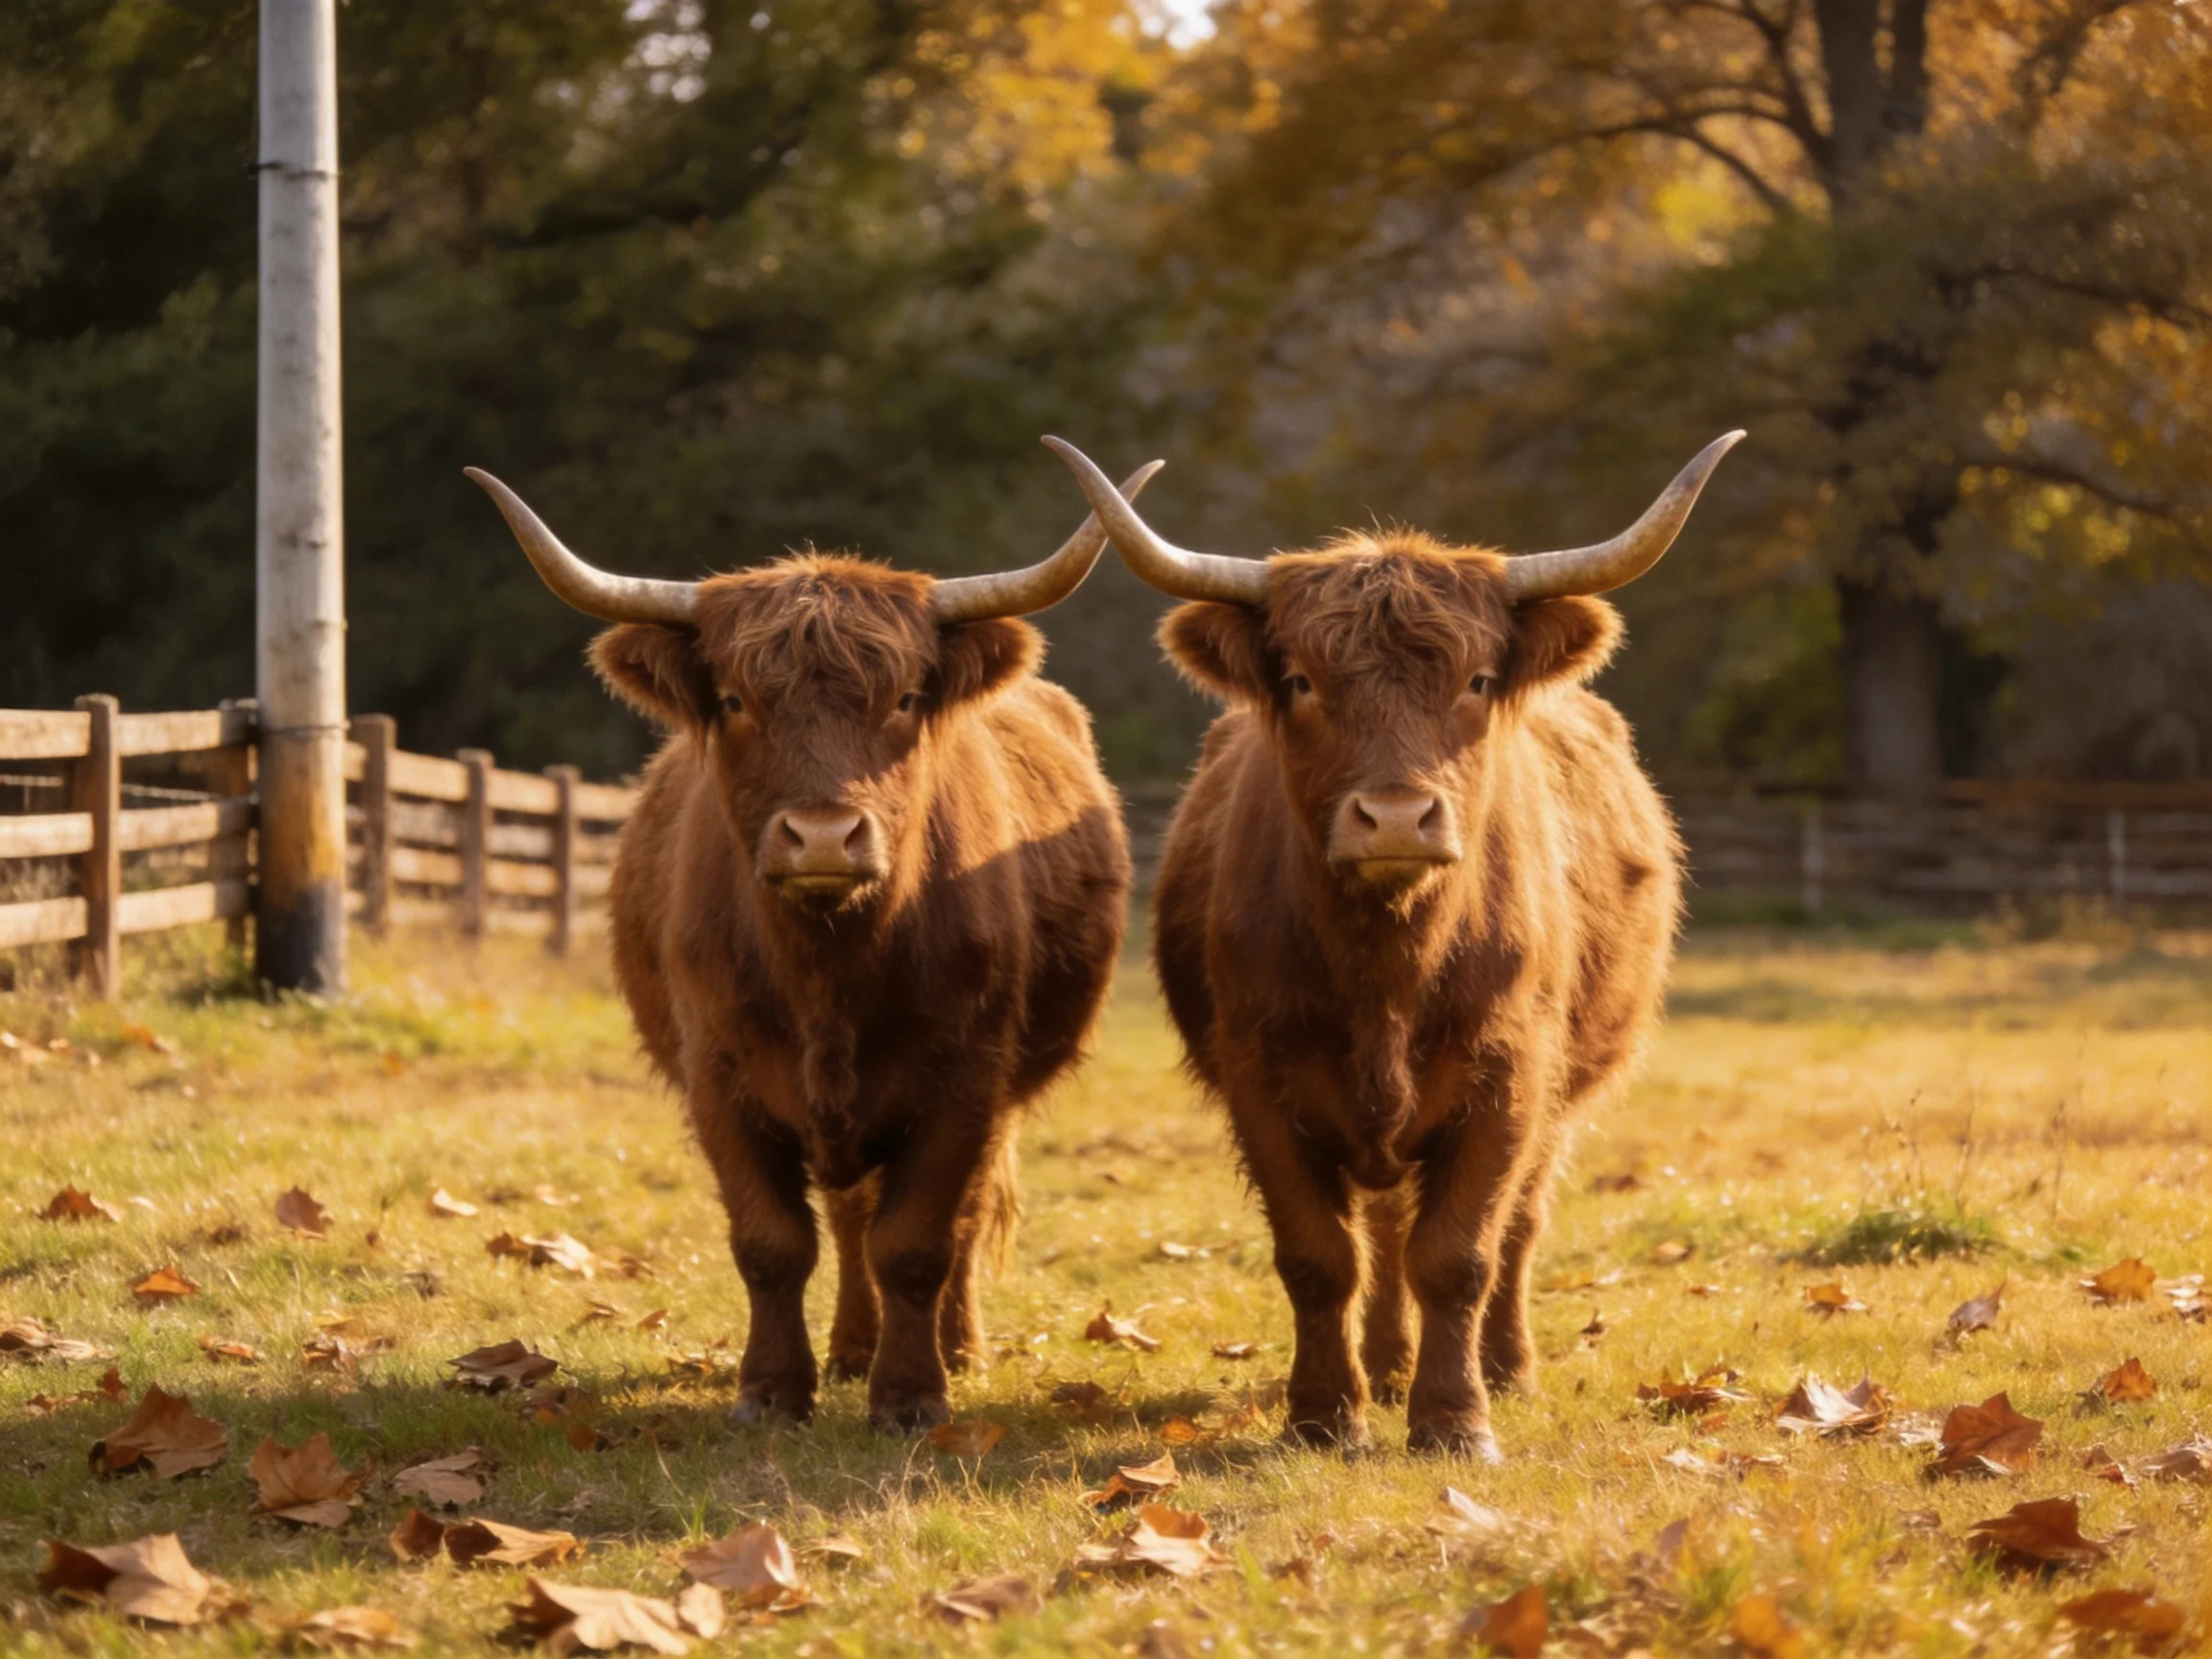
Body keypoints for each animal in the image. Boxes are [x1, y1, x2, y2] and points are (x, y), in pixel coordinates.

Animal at [465, 462, 1158, 1432]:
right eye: (733, 700)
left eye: (904, 698)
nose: (825, 837)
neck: (830, 969)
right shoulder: (719, 1075)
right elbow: (773, 1243)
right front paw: (771, 1389)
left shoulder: (966, 1080)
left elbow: (919, 1241)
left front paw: (912, 1395)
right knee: (848, 1212)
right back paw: (852, 1349)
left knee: (945, 1217)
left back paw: (953, 1347)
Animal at [1044, 433, 1742, 1458]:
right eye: (1301, 680)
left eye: (1478, 680)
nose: (1398, 816)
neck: (1388, 966)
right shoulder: (1261, 1080)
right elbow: (1318, 1256)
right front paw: (1325, 1416)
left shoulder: (1510, 1079)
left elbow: (1461, 1254)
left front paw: (1455, 1421)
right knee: (1381, 1227)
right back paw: (1383, 1364)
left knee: (1517, 1224)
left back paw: (1507, 1367)